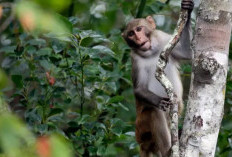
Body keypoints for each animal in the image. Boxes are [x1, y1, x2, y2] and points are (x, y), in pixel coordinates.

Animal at [121, 0, 194, 156]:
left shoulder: (163, 38)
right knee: (153, 112)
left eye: (139, 29)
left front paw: (188, 8)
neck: (151, 51)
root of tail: (141, 143)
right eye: (131, 34)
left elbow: (186, 52)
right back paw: (168, 150)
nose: (138, 38)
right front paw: (159, 100)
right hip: (142, 128)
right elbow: (139, 89)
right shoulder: (135, 60)